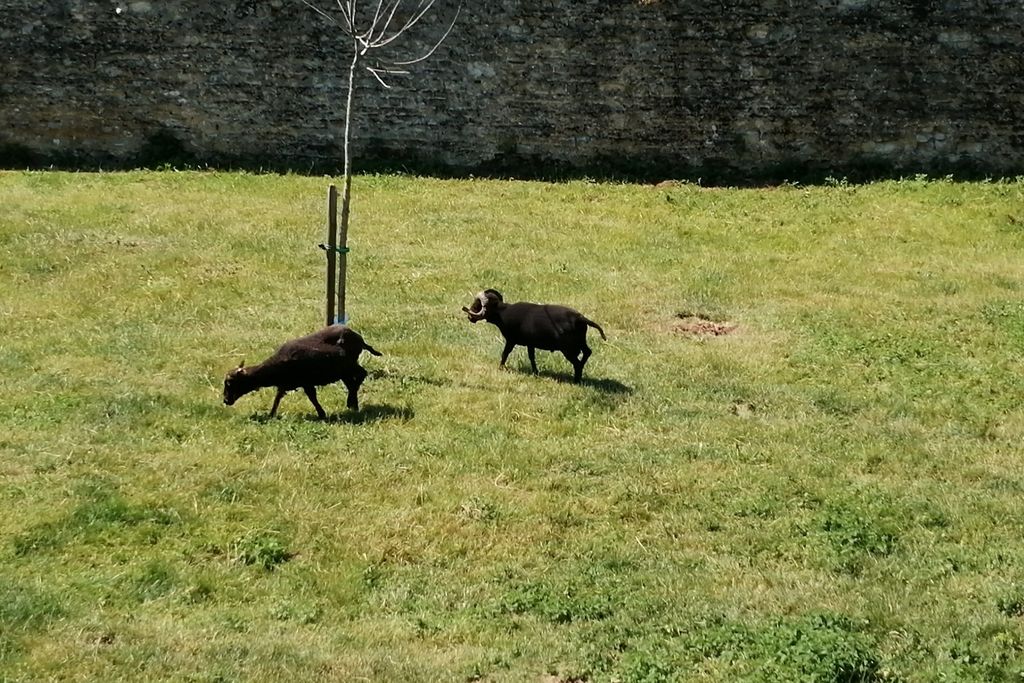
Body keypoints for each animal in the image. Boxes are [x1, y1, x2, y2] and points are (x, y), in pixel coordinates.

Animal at [222, 325, 382, 419]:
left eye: (229, 383)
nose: (225, 400)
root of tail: (359, 338)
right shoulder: (285, 383)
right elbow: (277, 398)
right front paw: (271, 415)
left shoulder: (306, 382)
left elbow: (312, 398)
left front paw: (322, 414)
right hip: (344, 371)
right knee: (352, 383)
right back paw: (354, 405)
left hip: (349, 366)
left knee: (361, 375)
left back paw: (351, 403)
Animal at [466, 290, 606, 385]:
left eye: (478, 304)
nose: (470, 317)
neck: (503, 312)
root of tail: (581, 318)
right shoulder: (530, 343)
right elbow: (532, 357)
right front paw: (535, 372)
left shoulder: (511, 340)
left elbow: (505, 353)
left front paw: (500, 368)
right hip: (581, 342)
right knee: (588, 352)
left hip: (568, 349)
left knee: (577, 363)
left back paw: (576, 380)